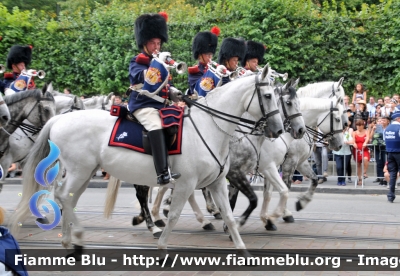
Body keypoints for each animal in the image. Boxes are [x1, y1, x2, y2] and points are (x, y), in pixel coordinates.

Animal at [11, 66, 284, 254]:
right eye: (268, 95)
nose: (279, 129)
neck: (209, 126)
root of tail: (58, 119)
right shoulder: (186, 183)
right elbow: (175, 215)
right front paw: (162, 246)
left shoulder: (217, 182)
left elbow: (228, 215)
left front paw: (242, 248)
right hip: (80, 171)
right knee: (63, 196)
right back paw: (76, 235)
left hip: (85, 172)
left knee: (68, 198)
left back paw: (70, 241)